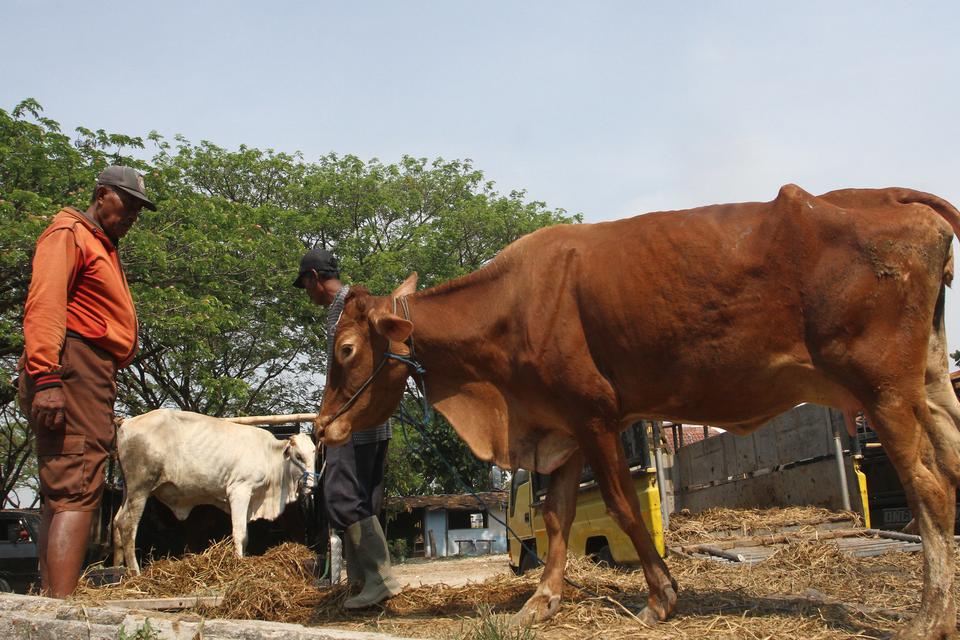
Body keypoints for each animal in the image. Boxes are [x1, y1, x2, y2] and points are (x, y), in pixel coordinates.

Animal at [112, 408, 316, 572]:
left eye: (314, 453)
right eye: (298, 456)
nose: (312, 485)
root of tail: (126, 422)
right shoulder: (239, 490)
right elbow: (240, 533)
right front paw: (238, 563)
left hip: (128, 491)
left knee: (116, 522)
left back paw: (117, 569)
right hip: (140, 488)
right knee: (127, 524)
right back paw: (135, 572)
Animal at [316, 185, 960, 640]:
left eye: (344, 350)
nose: (323, 427)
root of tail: (889, 194)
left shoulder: (596, 416)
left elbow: (622, 508)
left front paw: (661, 597)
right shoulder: (562, 428)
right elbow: (555, 518)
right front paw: (540, 603)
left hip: (883, 388)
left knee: (929, 487)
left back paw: (927, 619)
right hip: (929, 384)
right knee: (951, 467)